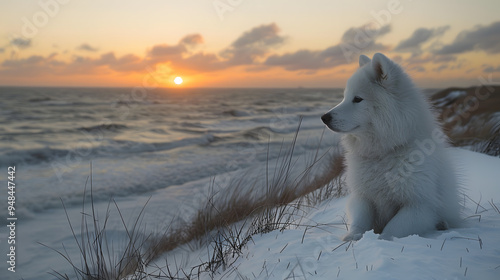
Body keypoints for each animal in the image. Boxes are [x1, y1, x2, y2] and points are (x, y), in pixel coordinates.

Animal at [322, 53, 462, 241]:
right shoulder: (363, 198)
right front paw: (351, 239)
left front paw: (379, 241)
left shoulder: (420, 206)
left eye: (357, 99)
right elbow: (359, 222)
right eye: (345, 97)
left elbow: (392, 229)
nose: (324, 117)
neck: (383, 153)